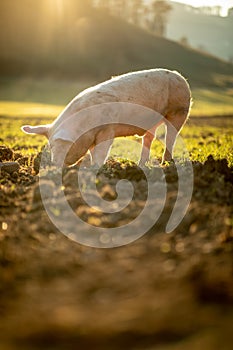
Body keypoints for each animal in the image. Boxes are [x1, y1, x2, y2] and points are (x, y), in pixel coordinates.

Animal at [20, 69, 191, 167]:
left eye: (63, 146)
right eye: (51, 146)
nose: (54, 165)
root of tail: (179, 76)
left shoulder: (108, 128)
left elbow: (102, 151)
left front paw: (97, 168)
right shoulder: (91, 137)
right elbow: (92, 152)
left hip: (180, 110)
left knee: (170, 137)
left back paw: (166, 163)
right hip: (153, 120)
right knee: (149, 138)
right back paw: (141, 165)